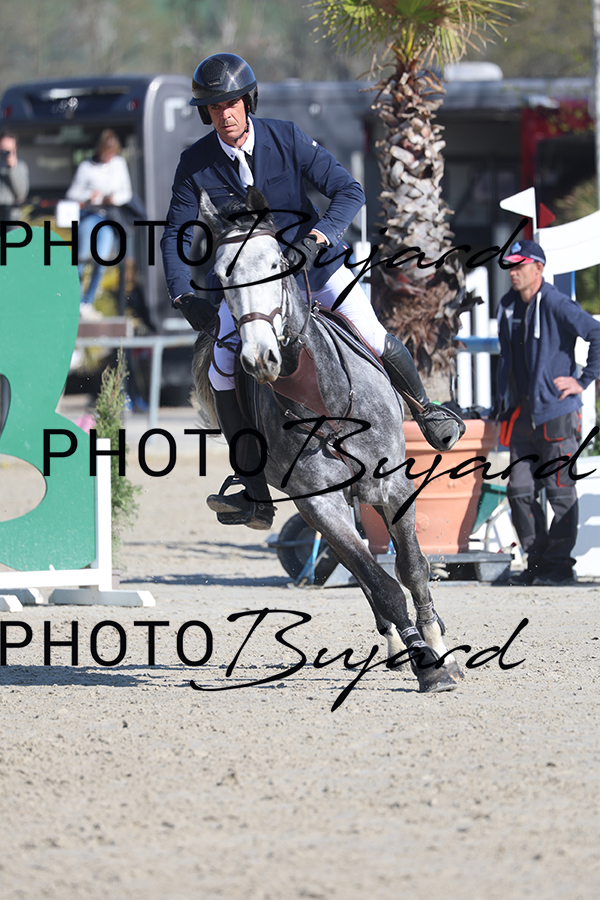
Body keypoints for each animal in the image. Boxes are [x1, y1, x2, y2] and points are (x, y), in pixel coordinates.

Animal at [192, 186, 463, 693]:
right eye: (221, 276)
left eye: (277, 261)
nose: (260, 358)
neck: (324, 398)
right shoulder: (321, 505)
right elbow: (382, 584)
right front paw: (424, 662)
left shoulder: (393, 487)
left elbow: (413, 569)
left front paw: (437, 647)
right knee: (363, 574)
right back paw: (397, 646)